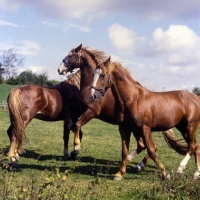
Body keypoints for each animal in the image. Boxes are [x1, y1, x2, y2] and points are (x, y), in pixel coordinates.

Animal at [57, 43, 188, 178]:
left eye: (70, 55)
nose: (60, 69)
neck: (90, 87)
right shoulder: (81, 106)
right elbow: (68, 110)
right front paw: (70, 135)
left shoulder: (92, 111)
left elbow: (77, 125)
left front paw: (76, 149)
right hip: (137, 129)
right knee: (145, 146)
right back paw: (137, 164)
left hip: (142, 129)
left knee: (151, 147)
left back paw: (140, 165)